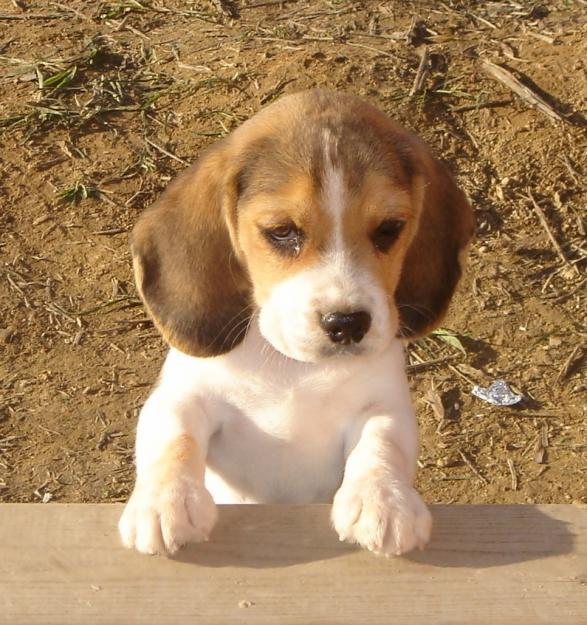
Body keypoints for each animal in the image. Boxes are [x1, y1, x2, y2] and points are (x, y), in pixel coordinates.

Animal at [118, 88, 474, 556]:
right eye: (282, 232)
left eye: (389, 229)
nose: (347, 323)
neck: (293, 369)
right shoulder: (183, 396)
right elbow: (173, 438)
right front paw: (165, 501)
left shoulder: (384, 404)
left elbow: (382, 444)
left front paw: (383, 500)